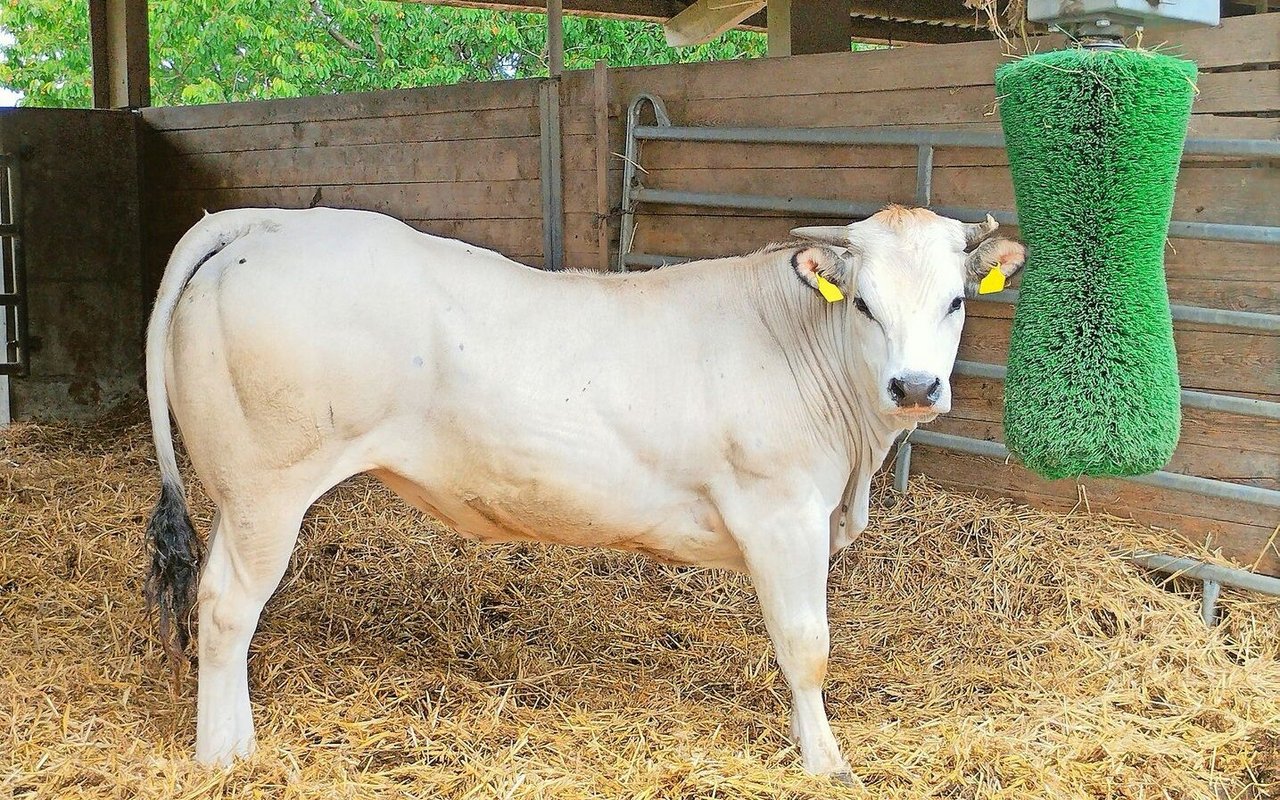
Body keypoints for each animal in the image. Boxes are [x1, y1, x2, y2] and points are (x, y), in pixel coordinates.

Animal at [145, 202, 1024, 778]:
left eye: (955, 299)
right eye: (866, 304)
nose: (915, 386)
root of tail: (269, 223)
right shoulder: (783, 514)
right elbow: (806, 648)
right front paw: (826, 761)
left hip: (238, 495)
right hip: (268, 488)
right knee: (225, 606)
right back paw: (225, 755)